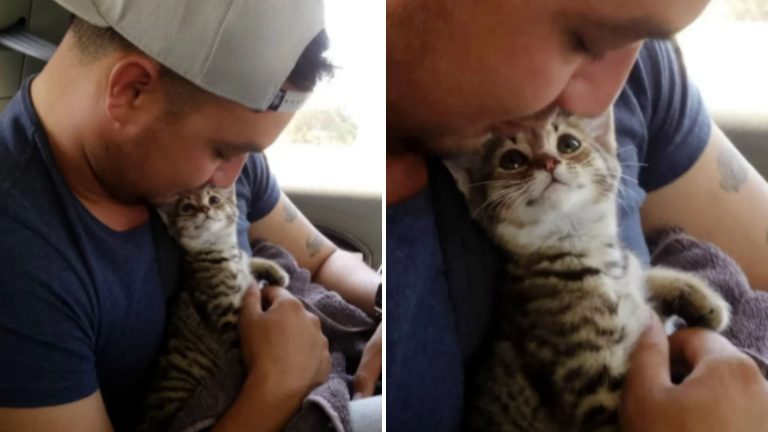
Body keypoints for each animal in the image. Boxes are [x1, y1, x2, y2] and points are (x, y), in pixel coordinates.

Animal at [136, 185, 290, 432]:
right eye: (188, 207)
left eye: (214, 200)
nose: (205, 208)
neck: (220, 251)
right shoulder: (225, 313)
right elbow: (238, 350)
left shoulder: (241, 260)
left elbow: (250, 259)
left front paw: (277, 273)